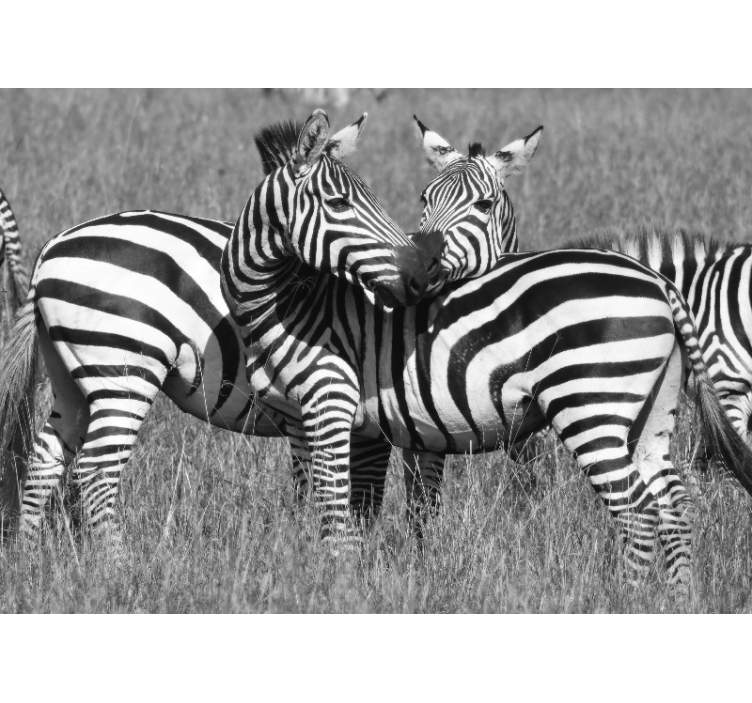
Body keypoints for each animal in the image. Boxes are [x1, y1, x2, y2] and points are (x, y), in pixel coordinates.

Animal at [0, 110, 430, 547]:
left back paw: (29, 554)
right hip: (123, 371)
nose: (420, 278)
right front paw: (394, 555)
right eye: (339, 203)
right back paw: (115, 561)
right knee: (97, 470)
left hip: (70, 376)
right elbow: (379, 497)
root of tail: (50, 253)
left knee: (45, 458)